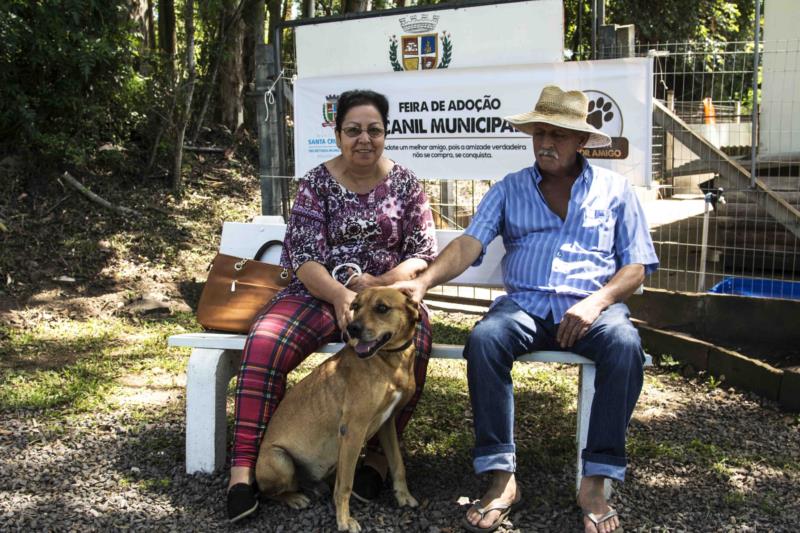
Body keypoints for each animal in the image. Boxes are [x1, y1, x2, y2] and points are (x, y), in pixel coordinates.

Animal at [256, 288, 422, 528]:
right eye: (355, 306)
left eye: (382, 307)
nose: (353, 328)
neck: (389, 360)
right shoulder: (353, 430)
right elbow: (345, 485)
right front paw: (344, 520)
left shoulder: (387, 423)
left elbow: (397, 464)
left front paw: (404, 496)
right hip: (280, 460)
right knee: (268, 493)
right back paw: (294, 498)